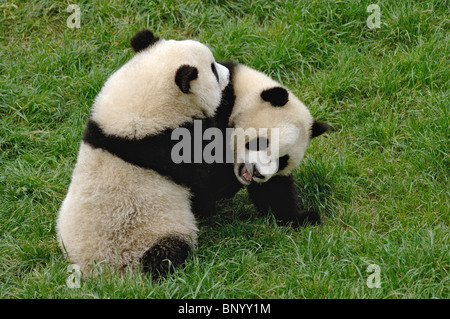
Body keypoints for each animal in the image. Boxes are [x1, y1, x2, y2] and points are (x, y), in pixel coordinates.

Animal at [56, 30, 230, 280]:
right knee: (166, 254)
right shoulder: (174, 145)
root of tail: (100, 271)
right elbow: (206, 181)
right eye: (213, 69)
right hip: (153, 234)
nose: (227, 72)